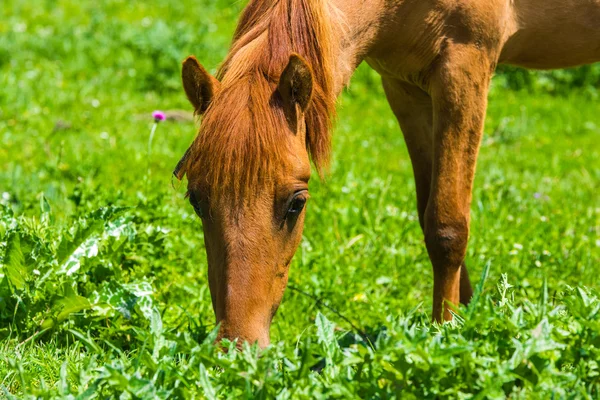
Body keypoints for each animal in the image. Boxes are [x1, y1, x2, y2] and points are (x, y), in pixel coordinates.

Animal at [173, 0, 600, 346]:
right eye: (197, 200)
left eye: (296, 203)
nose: (236, 346)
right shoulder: (405, 88)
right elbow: (429, 216)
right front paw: (465, 319)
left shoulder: (464, 68)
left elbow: (447, 226)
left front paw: (445, 335)